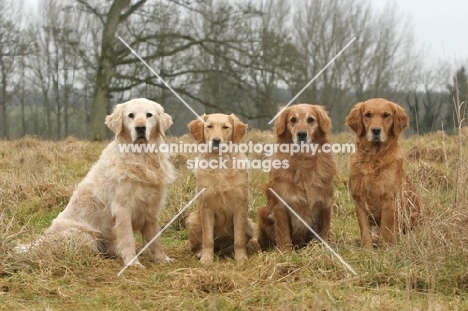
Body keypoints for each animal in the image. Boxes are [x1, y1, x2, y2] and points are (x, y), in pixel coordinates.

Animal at [186, 113, 254, 264]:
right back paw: (200, 253)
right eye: (209, 126)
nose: (216, 140)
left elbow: (239, 239)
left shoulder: (241, 205)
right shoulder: (206, 206)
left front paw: (241, 258)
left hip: (250, 224)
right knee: (196, 246)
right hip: (193, 219)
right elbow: (207, 239)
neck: (220, 164)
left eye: (225, 127)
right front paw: (206, 259)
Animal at [256, 103, 336, 252]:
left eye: (311, 120)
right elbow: (284, 234)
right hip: (264, 211)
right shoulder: (280, 205)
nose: (302, 134)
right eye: (293, 120)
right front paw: (286, 253)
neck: (302, 161)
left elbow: (325, 231)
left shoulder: (325, 203)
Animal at [348, 97, 420, 249]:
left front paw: (384, 248)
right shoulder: (359, 200)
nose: (376, 130)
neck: (373, 157)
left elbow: (386, 230)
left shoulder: (389, 200)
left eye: (386, 115)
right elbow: (365, 230)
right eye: (368, 115)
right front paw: (367, 249)